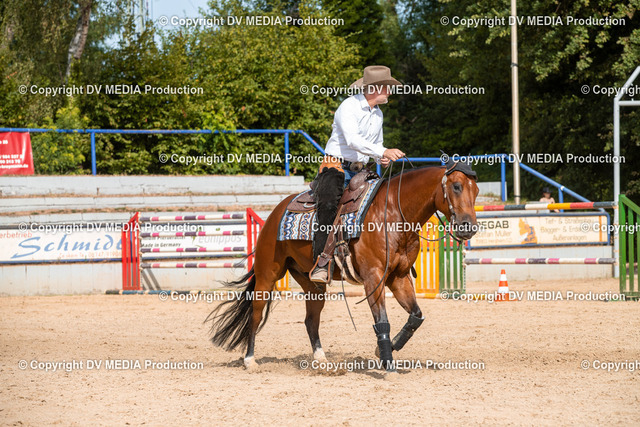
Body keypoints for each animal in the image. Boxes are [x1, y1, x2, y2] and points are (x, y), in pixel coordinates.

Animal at [205, 162, 479, 374]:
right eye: (456, 186)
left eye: (476, 190)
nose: (469, 227)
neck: (393, 213)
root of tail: (275, 213)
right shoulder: (373, 278)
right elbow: (382, 321)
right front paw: (388, 364)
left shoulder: (398, 278)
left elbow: (415, 317)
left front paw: (386, 349)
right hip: (267, 275)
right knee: (256, 314)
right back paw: (250, 360)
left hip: (312, 284)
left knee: (311, 321)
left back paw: (321, 360)